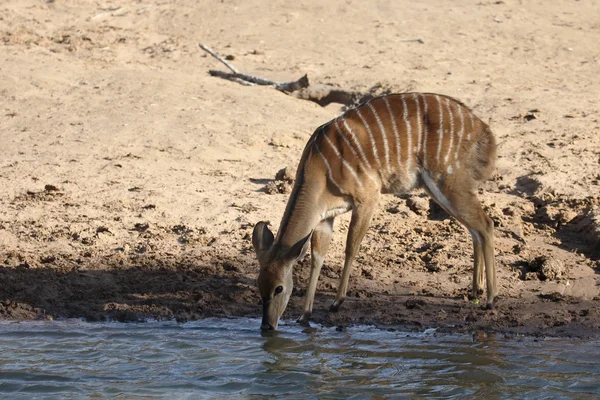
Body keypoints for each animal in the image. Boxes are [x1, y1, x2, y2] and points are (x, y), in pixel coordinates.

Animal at [252, 92, 496, 330]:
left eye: (279, 288)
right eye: (258, 284)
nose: (267, 326)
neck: (319, 167)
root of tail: (483, 129)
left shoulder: (367, 197)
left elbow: (351, 247)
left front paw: (337, 302)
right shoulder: (325, 218)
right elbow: (317, 257)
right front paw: (304, 315)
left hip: (448, 181)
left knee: (486, 223)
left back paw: (491, 299)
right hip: (439, 189)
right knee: (475, 229)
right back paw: (476, 291)